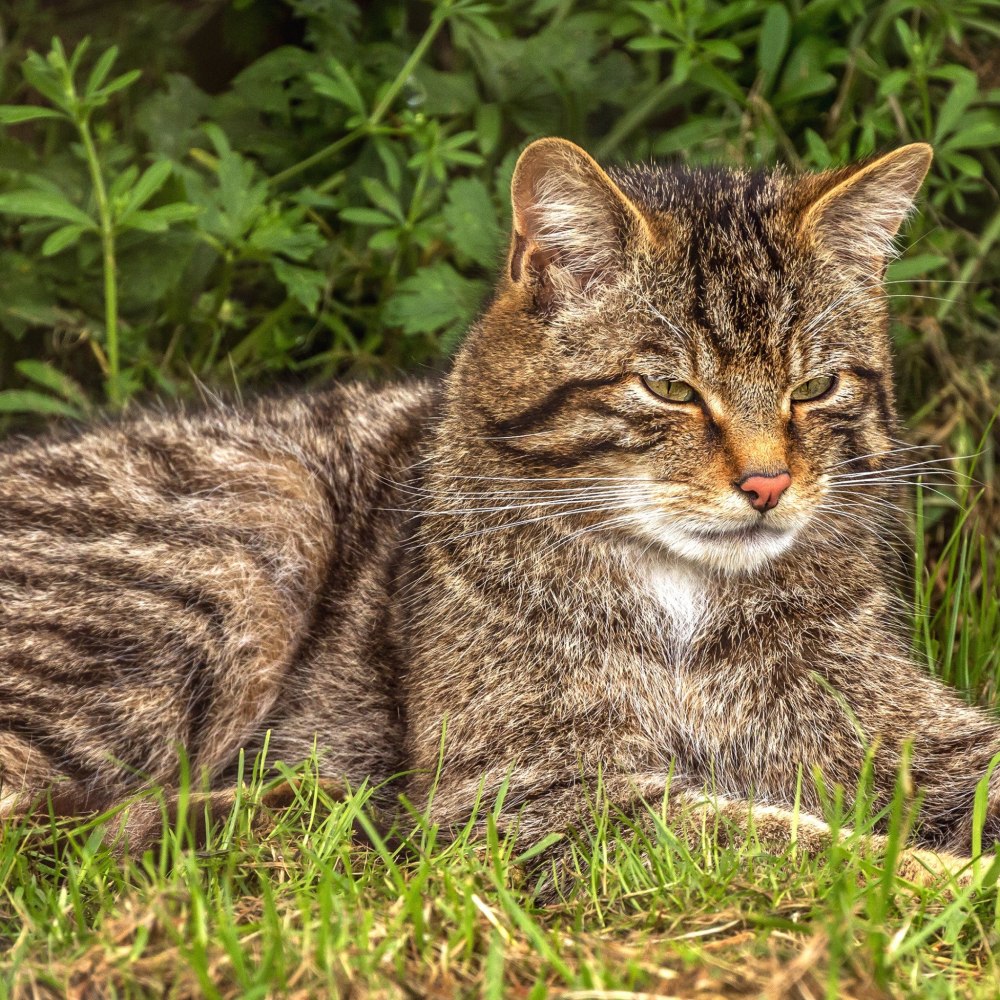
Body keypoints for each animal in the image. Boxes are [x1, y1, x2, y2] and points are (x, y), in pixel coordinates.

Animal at [1, 141, 1000, 884]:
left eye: (816, 387)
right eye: (669, 388)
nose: (767, 485)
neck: (690, 596)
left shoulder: (903, 729)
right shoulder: (533, 788)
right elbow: (779, 845)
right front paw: (949, 884)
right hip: (250, 522)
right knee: (48, 826)